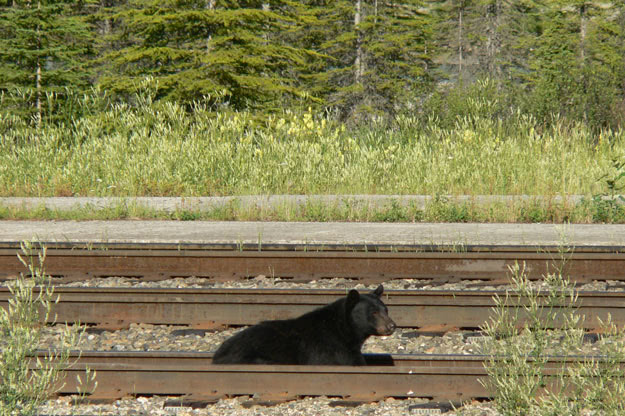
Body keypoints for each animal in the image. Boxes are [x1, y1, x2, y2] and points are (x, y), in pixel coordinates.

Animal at [212, 284, 392, 366]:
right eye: (373, 312)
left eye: (386, 309)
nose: (392, 326)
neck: (344, 330)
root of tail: (218, 354)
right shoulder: (330, 348)